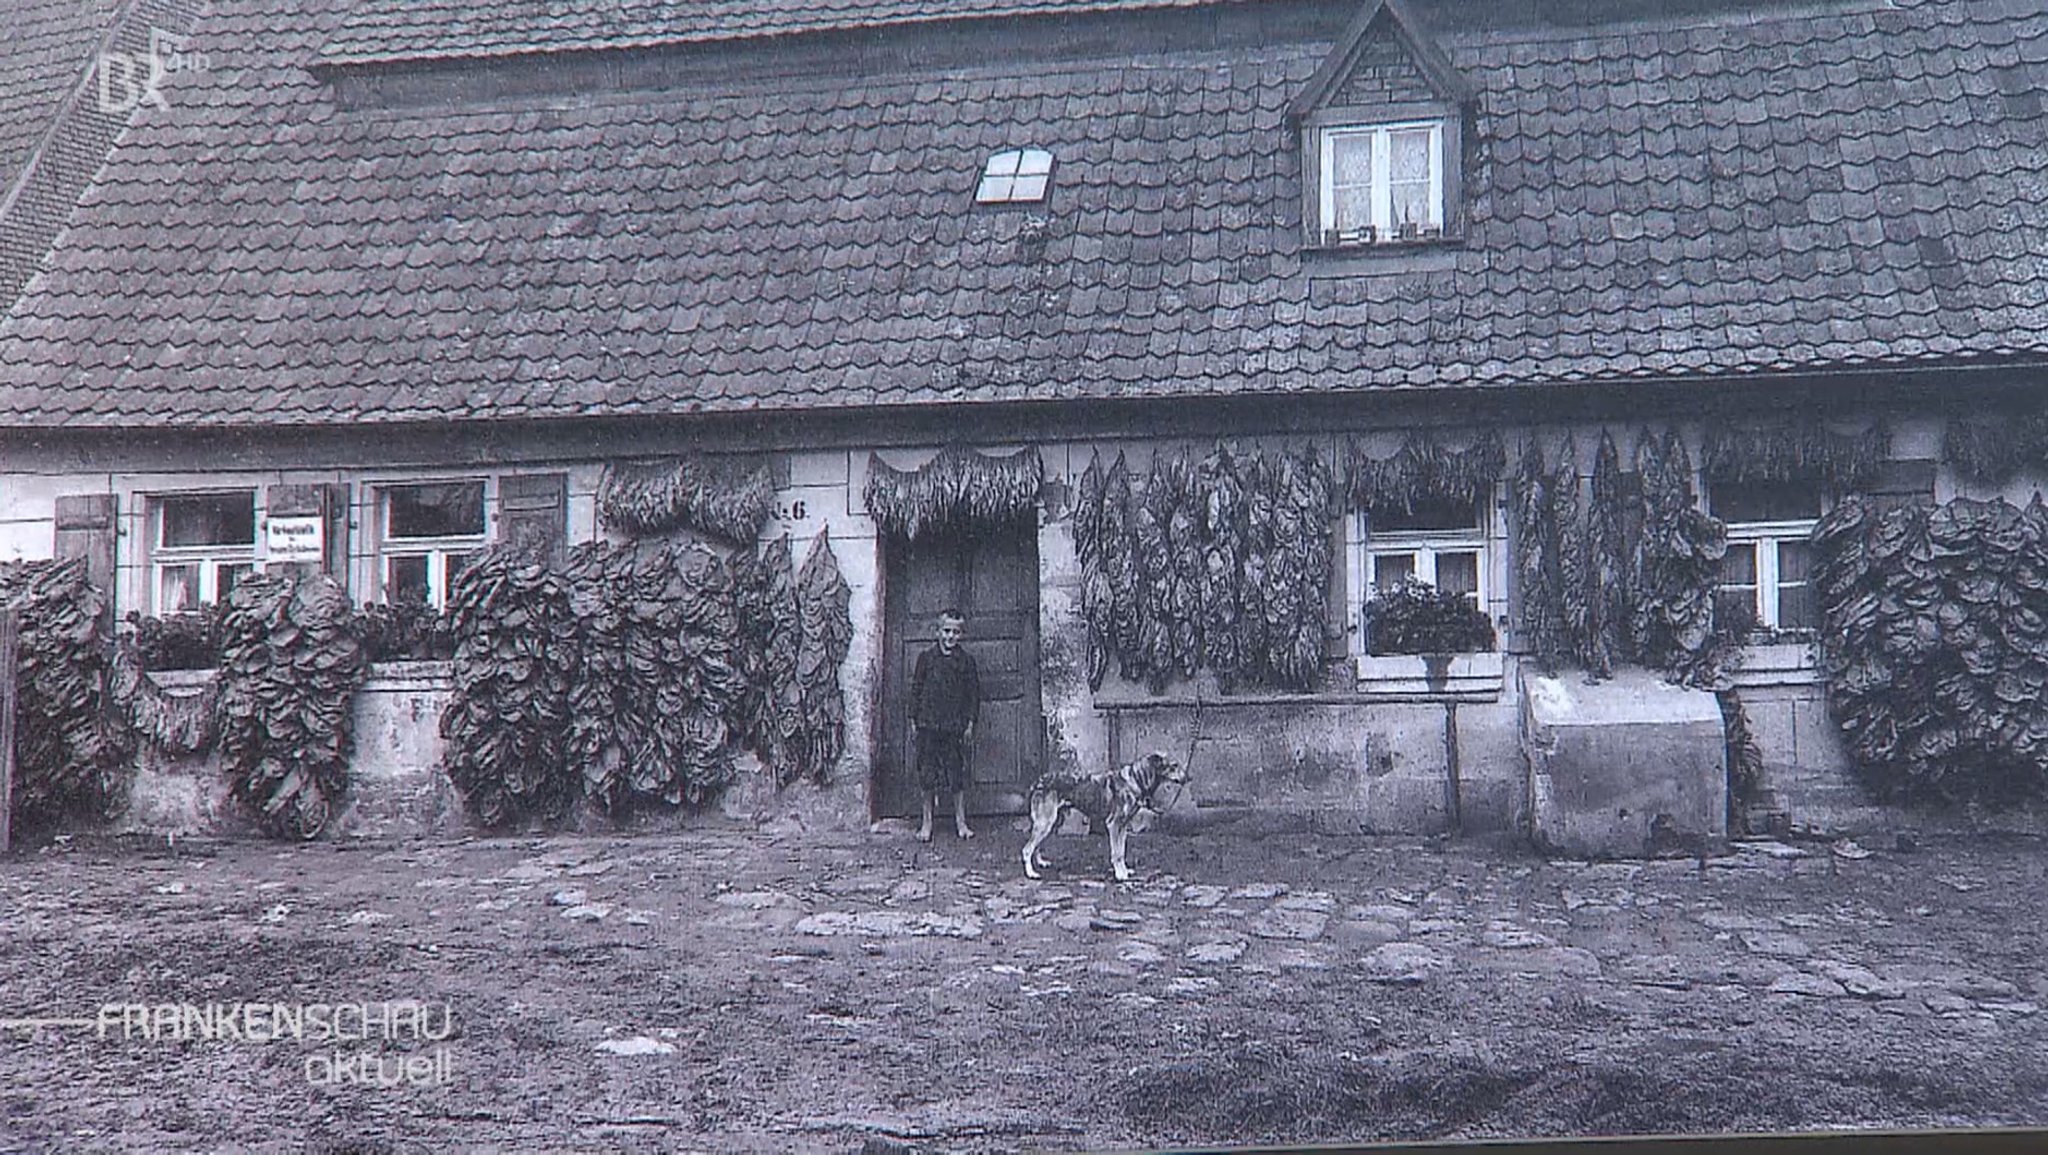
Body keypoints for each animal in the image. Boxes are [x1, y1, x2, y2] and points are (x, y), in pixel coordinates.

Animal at [1019, 753, 1187, 880]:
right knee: (1027, 849)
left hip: (1051, 822)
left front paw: (1125, 870)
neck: (1135, 780)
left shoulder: (1123, 826)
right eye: (1174, 765)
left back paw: (1041, 862)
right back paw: (1031, 873)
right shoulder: (1113, 825)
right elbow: (1116, 853)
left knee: (1036, 845)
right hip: (1045, 823)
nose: (1188, 778)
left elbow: (1122, 852)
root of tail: (1039, 780)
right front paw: (1120, 874)